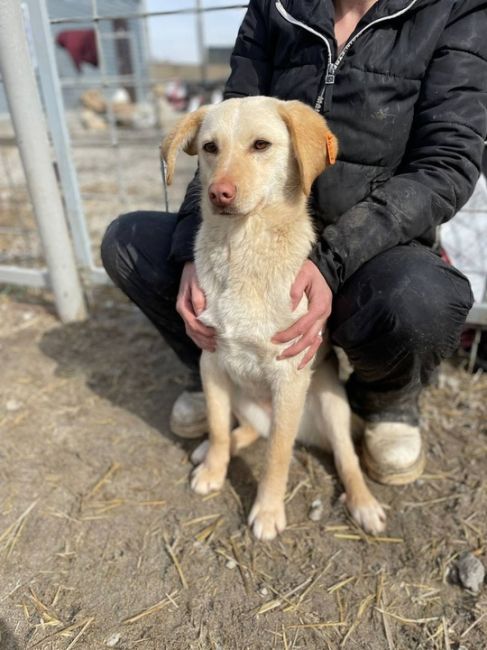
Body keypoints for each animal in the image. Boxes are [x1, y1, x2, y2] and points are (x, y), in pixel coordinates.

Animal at [162, 96, 386, 540]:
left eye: (261, 145)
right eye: (210, 148)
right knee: (246, 430)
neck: (243, 250)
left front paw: (266, 511)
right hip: (242, 398)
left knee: (345, 458)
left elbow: (277, 456)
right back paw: (210, 450)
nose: (219, 193)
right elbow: (218, 427)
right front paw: (213, 469)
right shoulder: (211, 363)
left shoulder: (288, 376)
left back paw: (365, 504)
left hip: (331, 404)